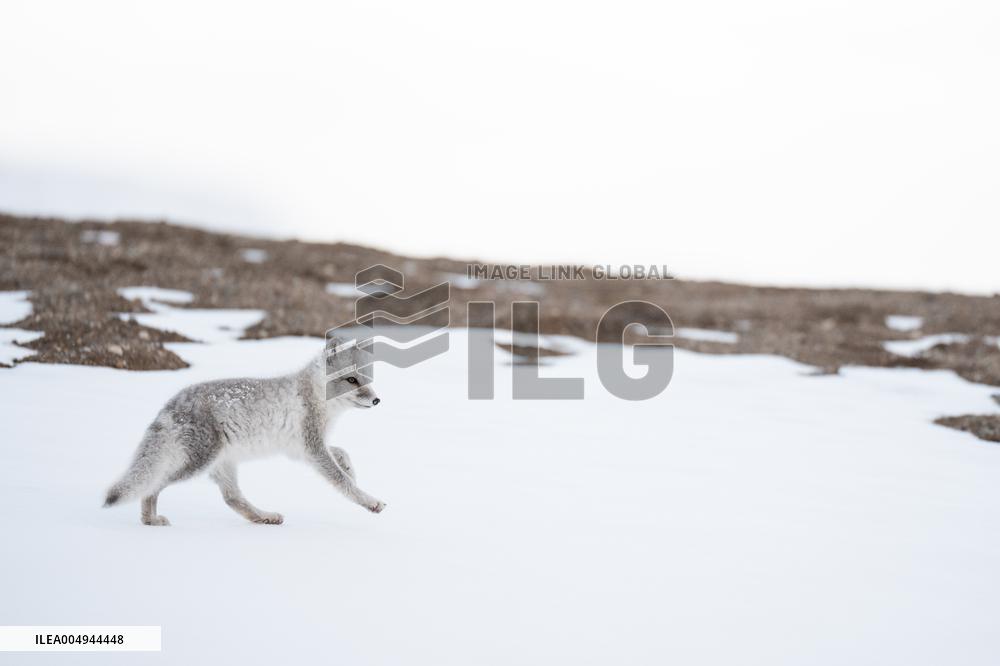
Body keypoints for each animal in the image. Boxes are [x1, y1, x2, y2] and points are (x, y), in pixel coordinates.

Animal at [103, 339, 386, 525]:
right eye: (352, 380)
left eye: (369, 379)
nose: (376, 400)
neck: (315, 394)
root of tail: (173, 402)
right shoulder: (313, 449)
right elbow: (341, 482)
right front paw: (370, 501)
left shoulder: (302, 450)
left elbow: (342, 454)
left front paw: (351, 471)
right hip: (196, 463)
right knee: (153, 485)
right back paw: (150, 521)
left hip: (221, 464)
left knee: (232, 499)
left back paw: (264, 517)